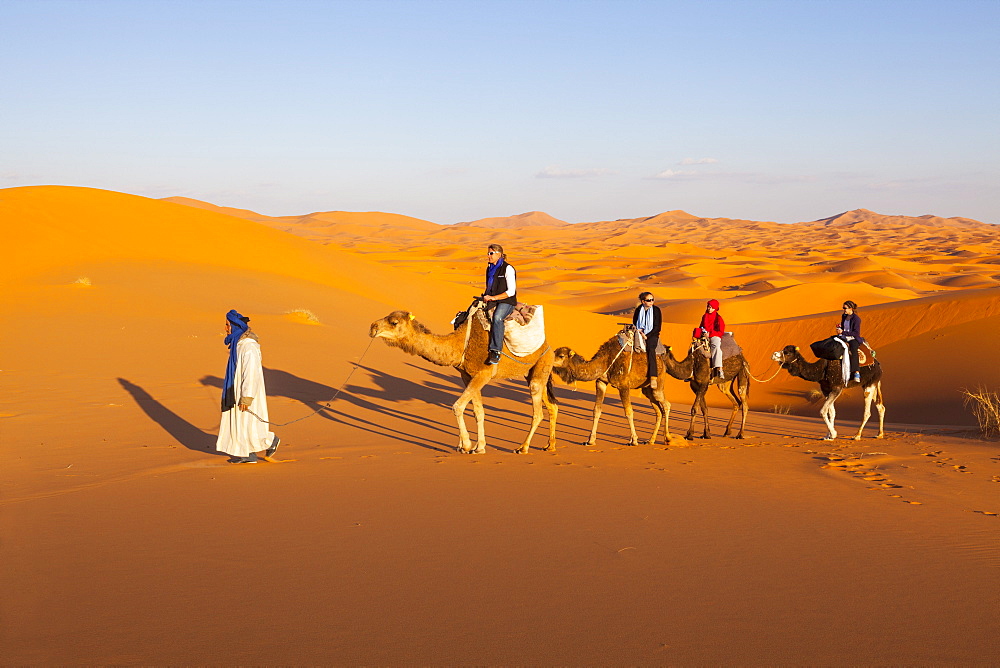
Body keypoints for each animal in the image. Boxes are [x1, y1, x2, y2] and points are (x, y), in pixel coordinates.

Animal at [370, 308, 560, 454]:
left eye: (394, 322)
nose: (372, 327)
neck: (461, 344)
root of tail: (549, 348)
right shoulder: (468, 375)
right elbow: (479, 412)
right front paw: (479, 447)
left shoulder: (484, 373)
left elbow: (457, 406)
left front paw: (466, 445)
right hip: (534, 373)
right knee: (552, 406)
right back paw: (550, 446)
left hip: (541, 366)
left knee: (538, 412)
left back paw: (523, 447)